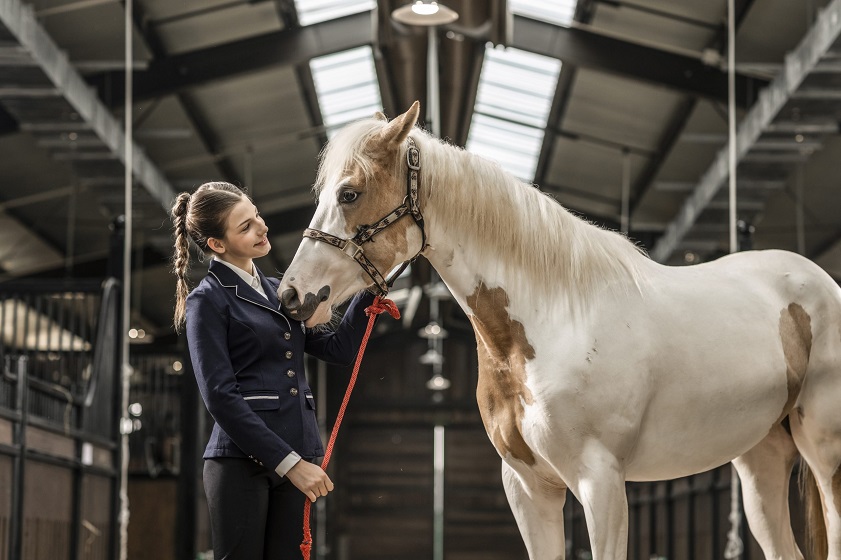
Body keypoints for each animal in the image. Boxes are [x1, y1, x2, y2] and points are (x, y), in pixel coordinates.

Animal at [278, 101, 841, 560]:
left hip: (825, 454)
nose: (292, 296)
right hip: (761, 461)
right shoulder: (528, 487)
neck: (554, 321)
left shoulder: (601, 483)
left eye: (350, 193)